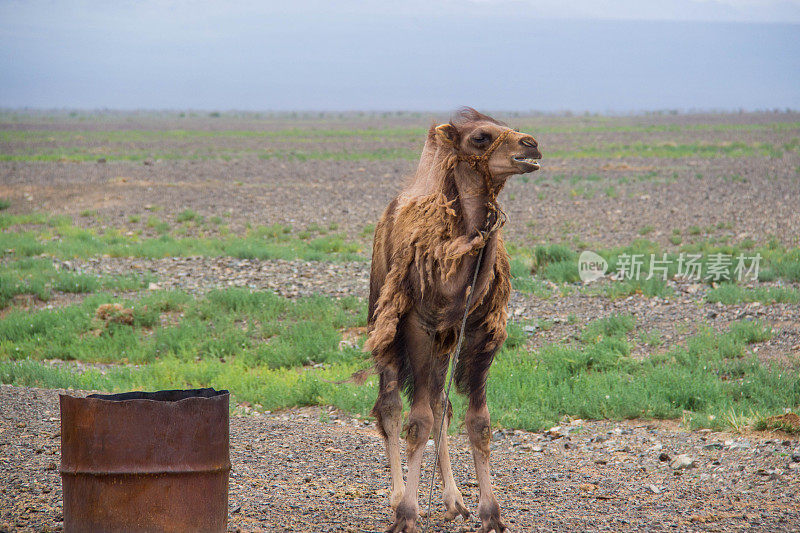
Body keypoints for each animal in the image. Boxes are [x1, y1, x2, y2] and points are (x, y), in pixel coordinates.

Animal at [366, 109, 540, 532]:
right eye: (480, 137)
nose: (531, 144)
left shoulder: (477, 332)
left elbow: (478, 422)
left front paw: (490, 513)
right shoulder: (417, 327)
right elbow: (417, 422)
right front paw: (407, 514)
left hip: (445, 344)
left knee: (440, 403)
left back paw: (453, 499)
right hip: (386, 322)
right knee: (391, 405)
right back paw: (397, 497)